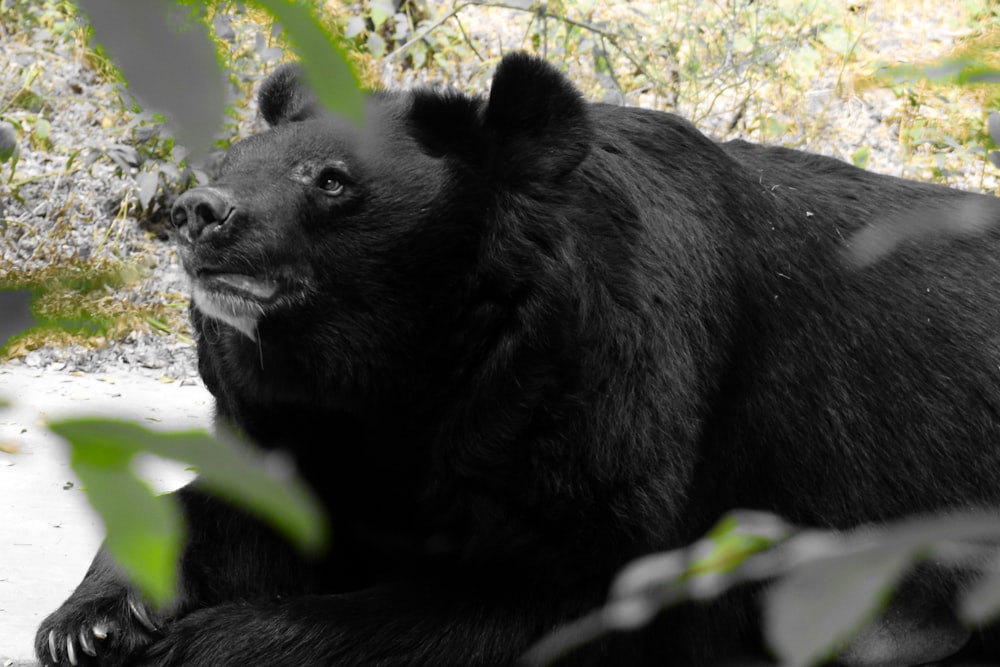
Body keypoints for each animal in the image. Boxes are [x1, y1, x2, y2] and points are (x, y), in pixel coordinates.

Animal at [35, 53, 1000, 667]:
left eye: (331, 181)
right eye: (232, 159)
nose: (196, 213)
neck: (405, 360)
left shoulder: (602, 401)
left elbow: (539, 595)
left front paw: (190, 645)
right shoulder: (317, 426)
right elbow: (255, 506)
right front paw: (91, 624)